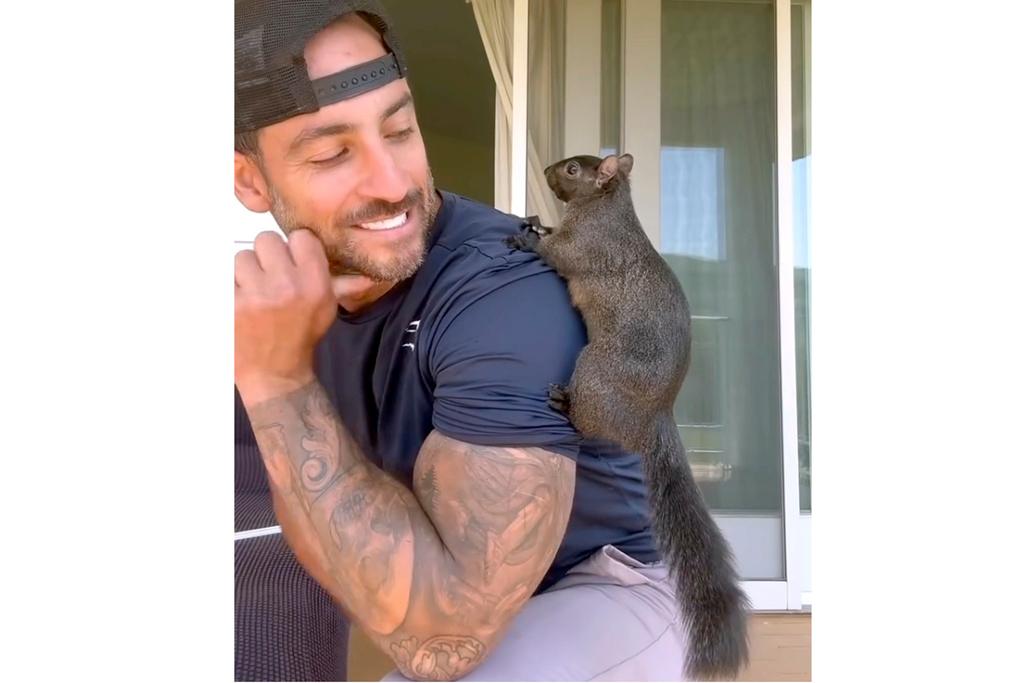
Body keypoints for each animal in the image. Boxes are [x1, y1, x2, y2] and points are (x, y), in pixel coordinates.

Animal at [507, 152, 749, 679]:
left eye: (573, 170)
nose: (551, 171)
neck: (604, 208)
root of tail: (653, 416)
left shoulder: (586, 248)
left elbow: (557, 254)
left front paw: (526, 236)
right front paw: (535, 220)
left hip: (593, 372)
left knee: (586, 423)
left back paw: (564, 404)